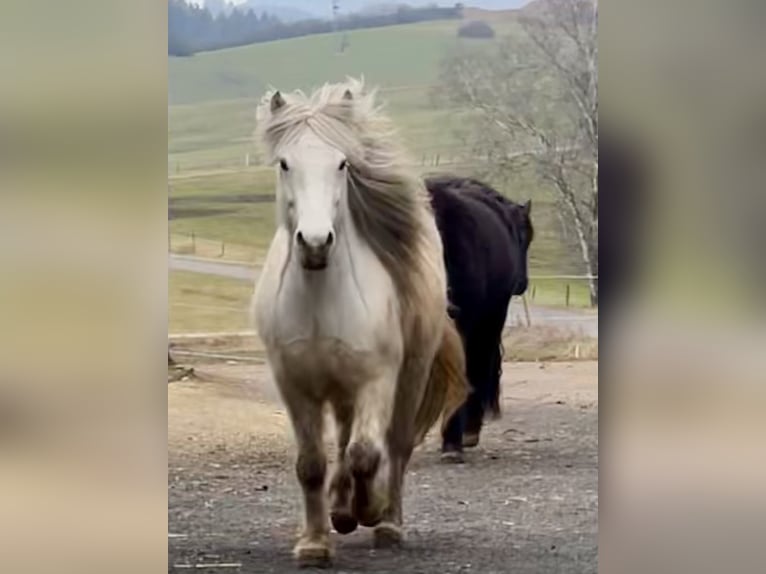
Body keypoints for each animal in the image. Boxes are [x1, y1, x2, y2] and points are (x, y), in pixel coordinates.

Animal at [251, 79, 468, 567]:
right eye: (285, 163)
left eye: (342, 163)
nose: (315, 243)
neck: (319, 299)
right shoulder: (295, 385)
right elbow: (312, 464)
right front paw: (315, 542)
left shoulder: (377, 380)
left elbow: (367, 454)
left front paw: (370, 510)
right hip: (340, 390)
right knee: (344, 441)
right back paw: (339, 508)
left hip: (408, 378)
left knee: (395, 447)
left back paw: (386, 523)